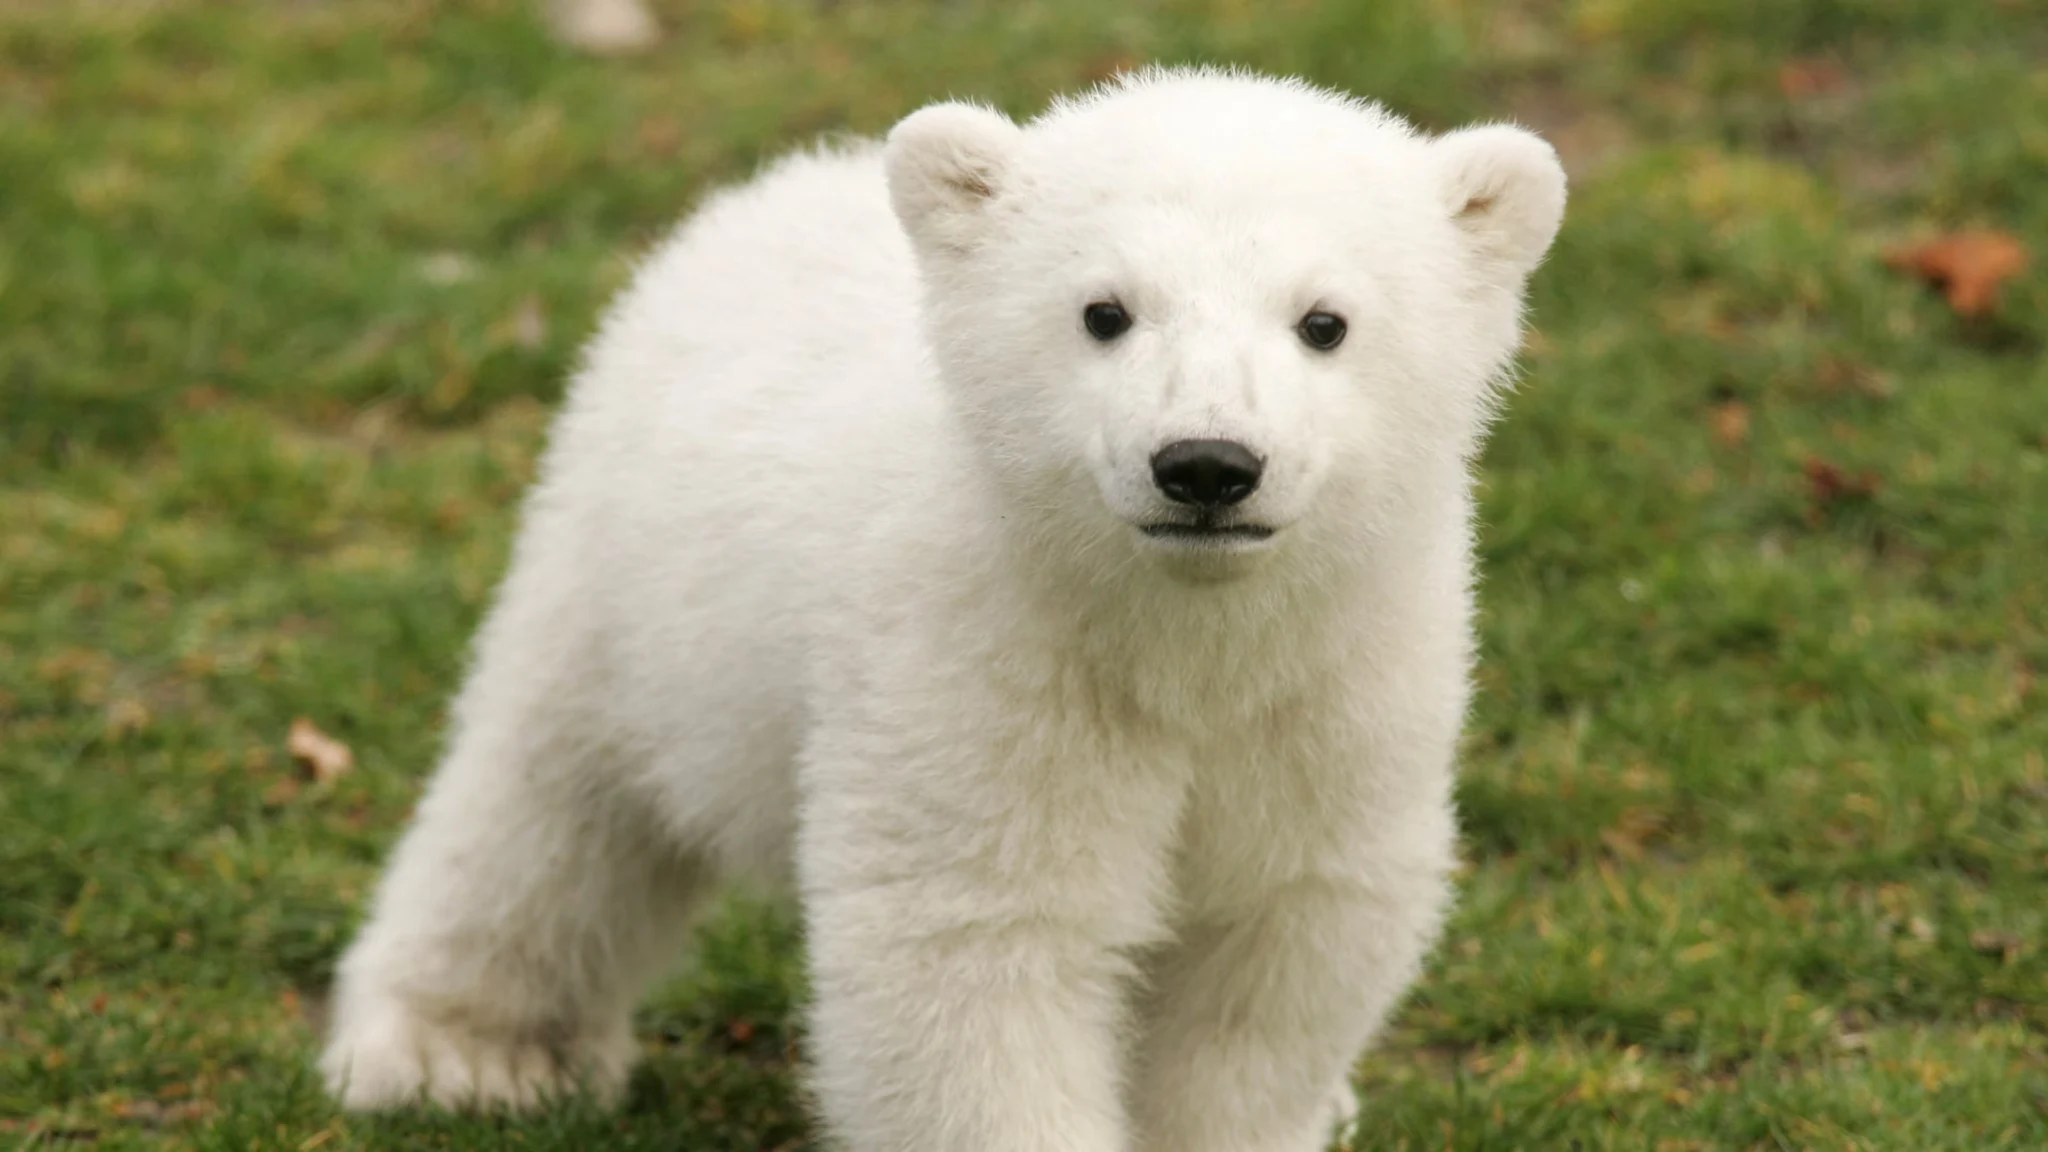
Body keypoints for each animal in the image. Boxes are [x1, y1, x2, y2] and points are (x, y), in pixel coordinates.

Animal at [319, 66, 1566, 1152]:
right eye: (1103, 311)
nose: (1205, 465)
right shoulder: (982, 660)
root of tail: (780, 184)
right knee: (551, 807)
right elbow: (977, 944)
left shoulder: (1334, 688)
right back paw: (459, 1053)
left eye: (1323, 322)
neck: (1176, 636)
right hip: (626, 575)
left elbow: (1276, 943)